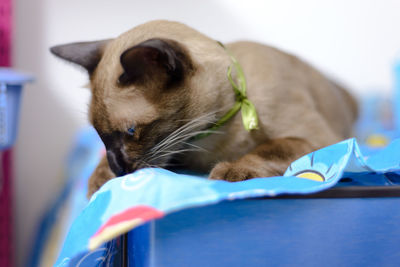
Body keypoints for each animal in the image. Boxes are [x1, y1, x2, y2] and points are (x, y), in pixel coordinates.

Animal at [50, 19, 360, 198]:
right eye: (100, 135)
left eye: (131, 131)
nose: (120, 168)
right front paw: (100, 178)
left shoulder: (315, 138)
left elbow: (271, 148)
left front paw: (234, 171)